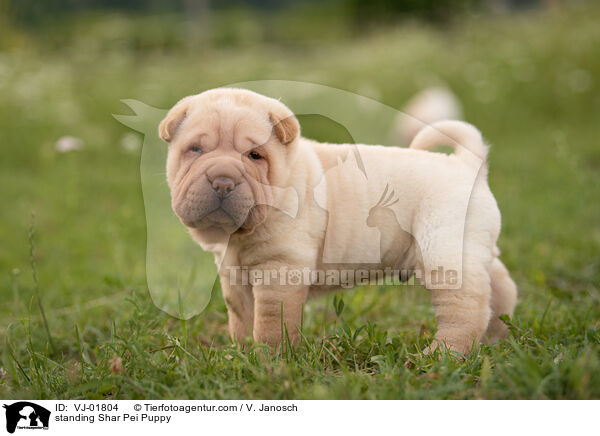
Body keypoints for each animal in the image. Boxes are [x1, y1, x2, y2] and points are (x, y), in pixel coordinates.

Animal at [162, 87, 516, 354]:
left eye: (254, 156)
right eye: (195, 150)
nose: (222, 181)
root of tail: (468, 164)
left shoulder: (280, 268)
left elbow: (270, 322)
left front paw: (269, 360)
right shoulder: (234, 275)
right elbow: (241, 318)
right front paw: (241, 354)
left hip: (445, 254)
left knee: (465, 310)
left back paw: (441, 355)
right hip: (476, 249)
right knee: (499, 288)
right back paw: (496, 337)